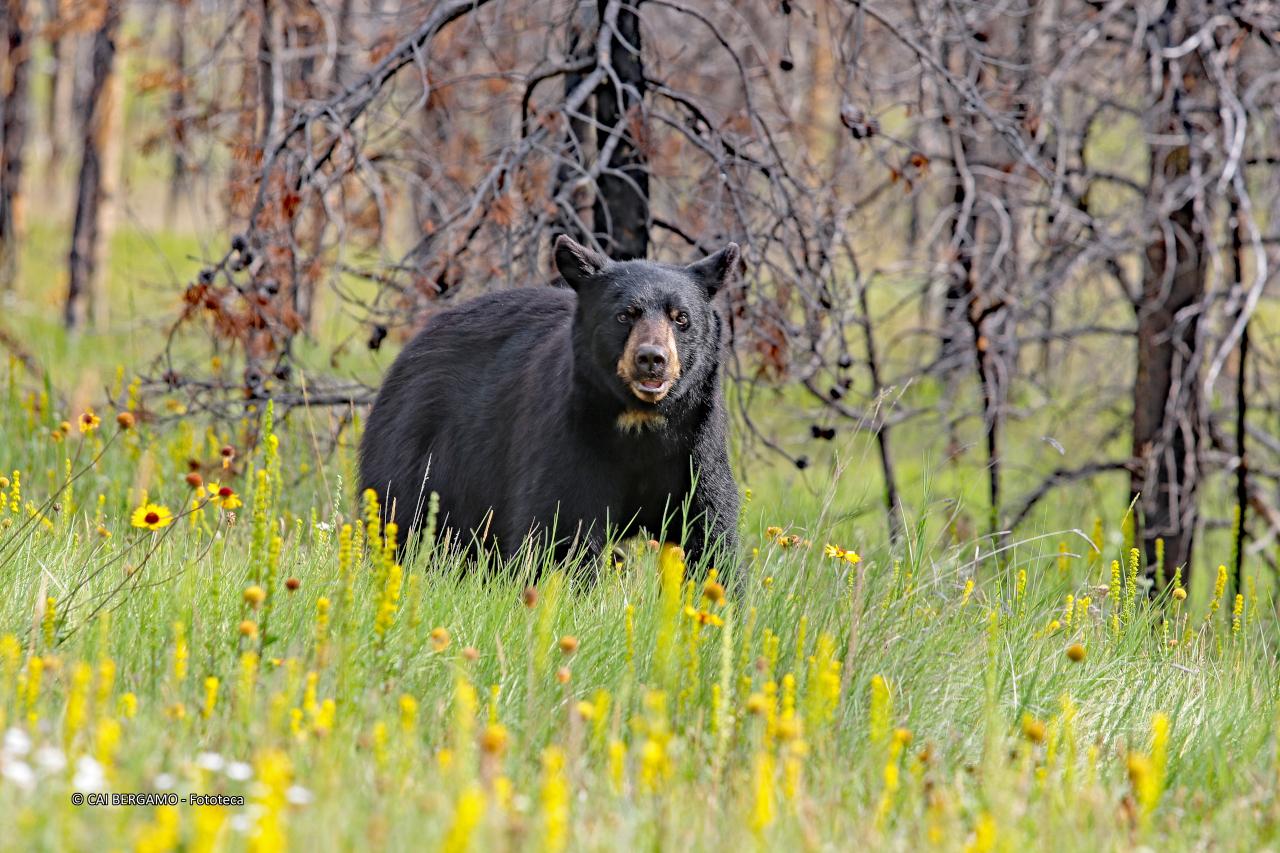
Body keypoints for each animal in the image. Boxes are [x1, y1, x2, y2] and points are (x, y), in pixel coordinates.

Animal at [358, 234, 742, 579]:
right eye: (625, 315)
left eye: (681, 318)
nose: (652, 359)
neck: (641, 423)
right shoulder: (570, 435)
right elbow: (561, 526)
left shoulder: (695, 445)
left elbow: (709, 530)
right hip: (422, 449)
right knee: (404, 519)